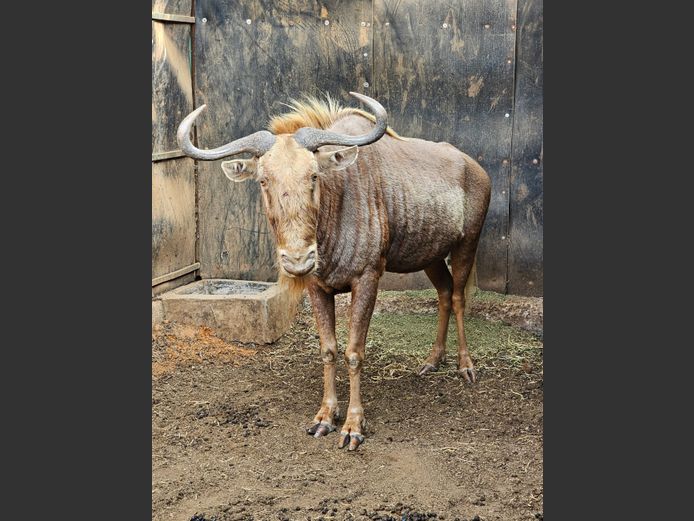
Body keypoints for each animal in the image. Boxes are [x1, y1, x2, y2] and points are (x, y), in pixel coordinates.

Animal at [177, 92, 491, 450]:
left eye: (314, 175)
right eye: (263, 179)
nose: (298, 261)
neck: (336, 208)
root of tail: (476, 169)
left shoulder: (367, 279)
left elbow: (354, 352)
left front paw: (353, 426)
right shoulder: (318, 288)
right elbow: (328, 350)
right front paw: (325, 417)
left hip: (467, 244)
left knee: (458, 298)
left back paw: (465, 367)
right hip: (431, 256)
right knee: (444, 294)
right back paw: (432, 361)